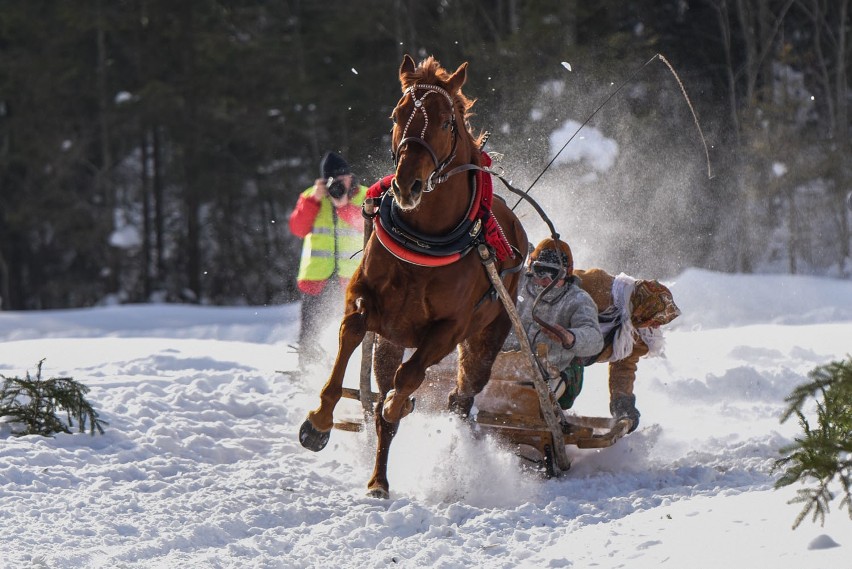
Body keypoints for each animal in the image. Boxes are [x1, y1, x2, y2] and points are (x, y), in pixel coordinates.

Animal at [298, 54, 524, 496]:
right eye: (397, 114)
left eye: (447, 122)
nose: (407, 184)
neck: (425, 240)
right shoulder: (365, 300)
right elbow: (352, 334)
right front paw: (318, 421)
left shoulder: (449, 328)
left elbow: (410, 377)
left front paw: (397, 402)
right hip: (391, 339)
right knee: (388, 400)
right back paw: (378, 481)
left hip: (485, 341)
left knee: (460, 397)